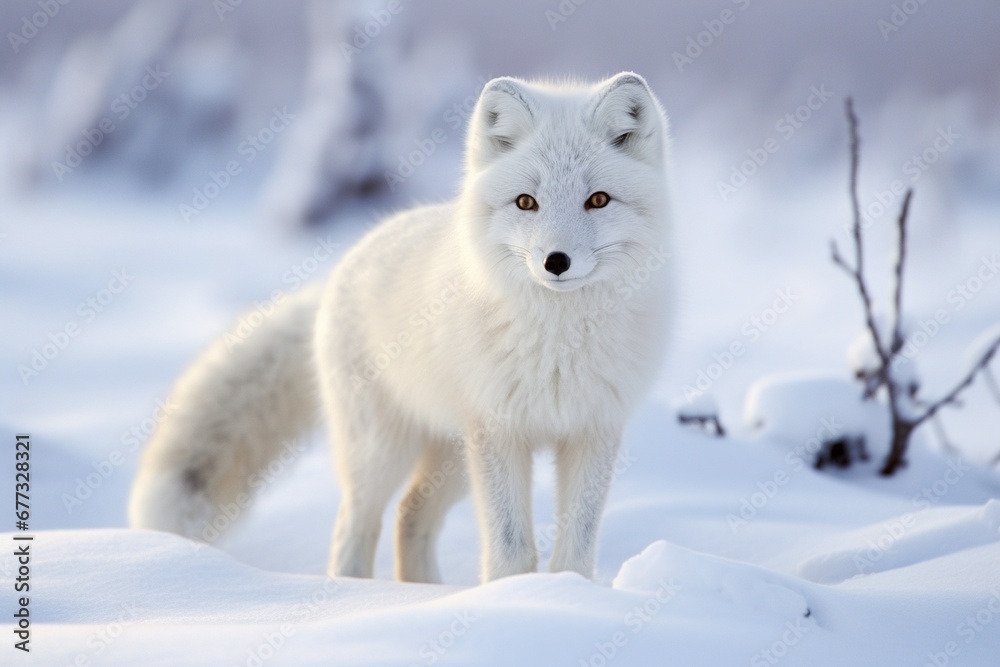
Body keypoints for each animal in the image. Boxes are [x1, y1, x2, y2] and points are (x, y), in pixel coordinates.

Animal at [129, 71, 673, 584]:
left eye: (598, 200)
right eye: (526, 203)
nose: (555, 262)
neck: (558, 342)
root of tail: (341, 269)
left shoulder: (593, 430)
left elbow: (576, 548)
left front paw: (562, 594)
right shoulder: (498, 432)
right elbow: (512, 548)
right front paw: (511, 596)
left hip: (452, 457)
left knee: (410, 515)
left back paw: (423, 594)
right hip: (384, 451)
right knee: (356, 524)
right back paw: (357, 594)